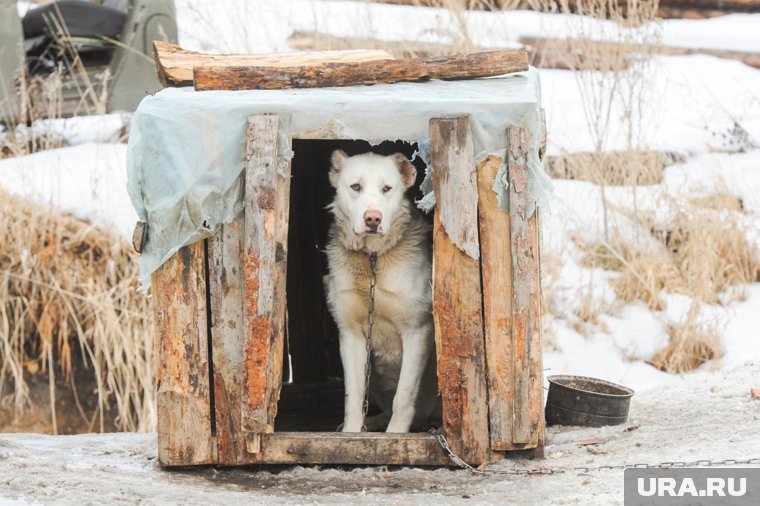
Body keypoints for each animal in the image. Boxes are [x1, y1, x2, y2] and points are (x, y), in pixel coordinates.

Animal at [322, 148, 440, 432]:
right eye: (355, 186)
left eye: (387, 188)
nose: (373, 219)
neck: (373, 258)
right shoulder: (350, 333)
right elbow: (353, 396)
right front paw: (351, 433)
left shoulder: (417, 330)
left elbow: (404, 395)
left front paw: (396, 434)